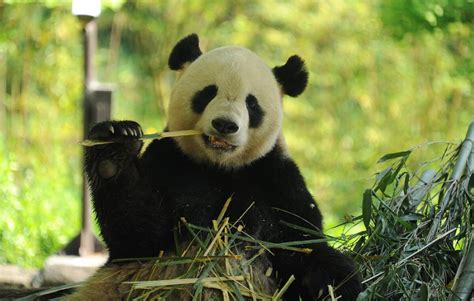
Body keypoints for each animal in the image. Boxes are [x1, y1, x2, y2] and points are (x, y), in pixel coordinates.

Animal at [71, 34, 360, 298]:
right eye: (208, 92)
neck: (220, 166)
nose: (225, 124)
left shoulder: (275, 176)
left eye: (251, 103)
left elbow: (301, 241)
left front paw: (329, 284)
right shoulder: (169, 160)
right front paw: (113, 147)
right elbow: (139, 237)